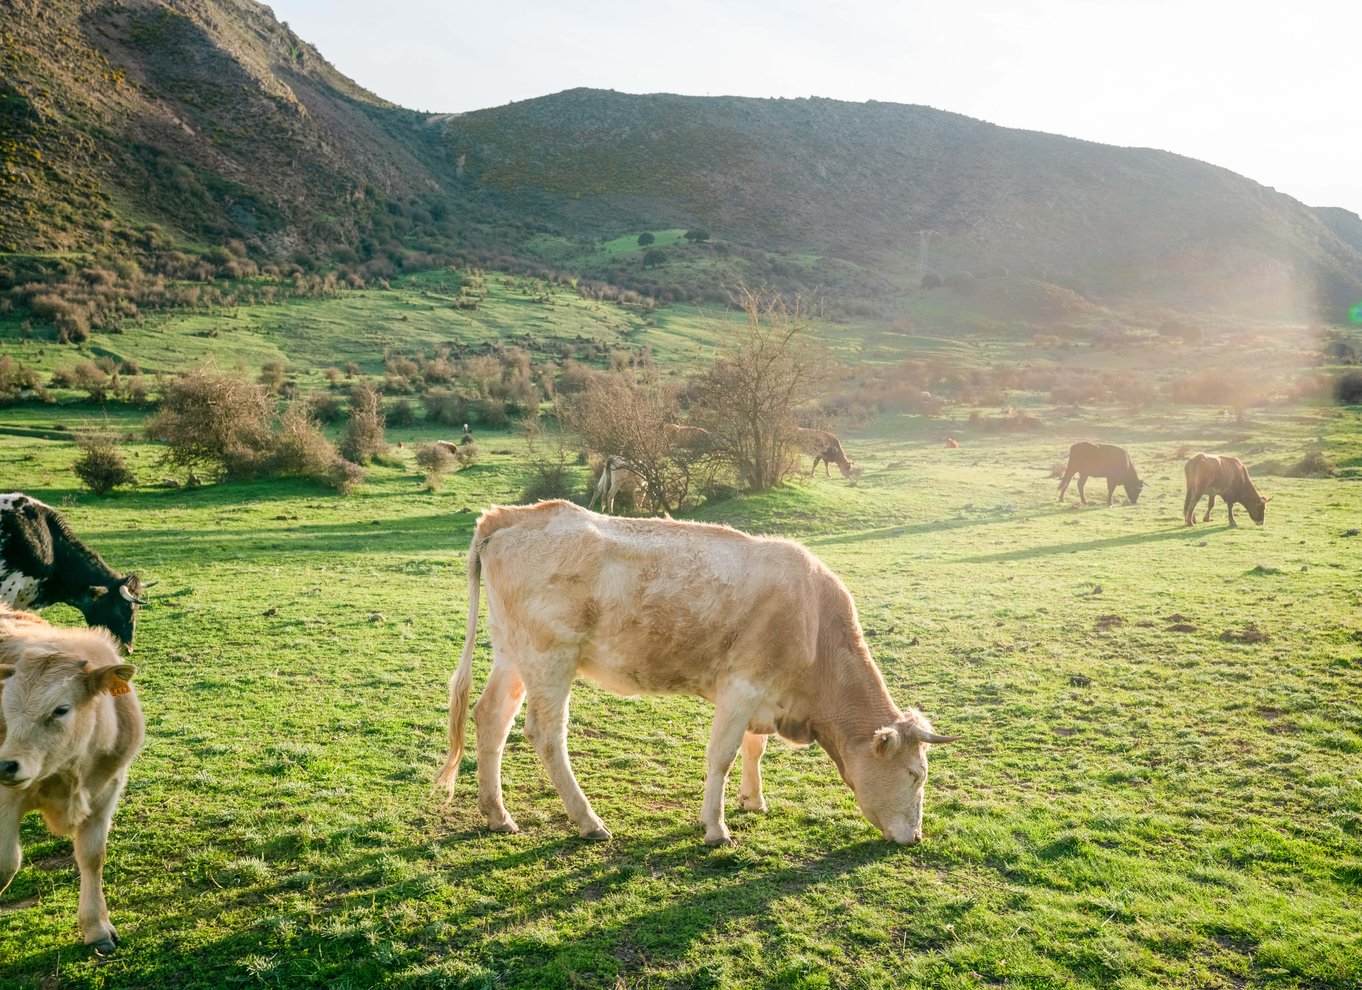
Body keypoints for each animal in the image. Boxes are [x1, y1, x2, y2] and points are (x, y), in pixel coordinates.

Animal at [438, 503, 958, 844]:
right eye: (915, 775)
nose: (915, 837)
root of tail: (507, 516)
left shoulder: (762, 694)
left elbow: (753, 747)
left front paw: (753, 801)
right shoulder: (741, 686)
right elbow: (721, 756)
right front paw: (716, 827)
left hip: (513, 653)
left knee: (491, 719)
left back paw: (497, 815)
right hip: (551, 656)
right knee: (546, 734)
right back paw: (588, 821)